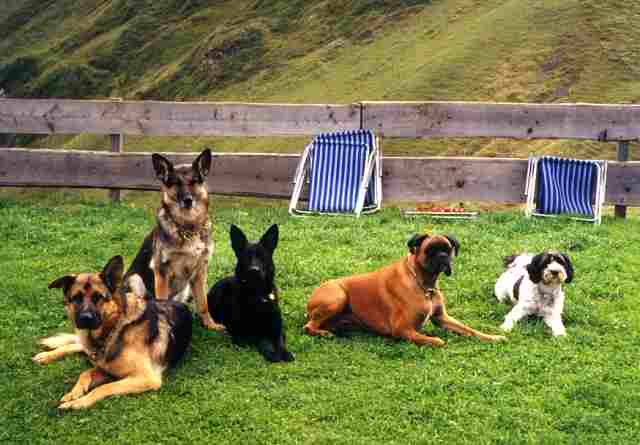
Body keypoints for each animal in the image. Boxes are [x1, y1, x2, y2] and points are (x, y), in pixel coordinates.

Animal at [32, 255, 191, 408]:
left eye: (98, 297)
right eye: (76, 298)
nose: (85, 318)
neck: (116, 329)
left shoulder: (145, 378)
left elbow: (102, 387)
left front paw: (78, 402)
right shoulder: (106, 369)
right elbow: (85, 374)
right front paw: (74, 393)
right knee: (76, 345)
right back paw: (46, 355)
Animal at [124, 148, 224, 330]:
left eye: (194, 181)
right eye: (175, 183)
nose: (188, 201)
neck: (188, 227)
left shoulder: (200, 272)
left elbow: (203, 303)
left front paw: (210, 324)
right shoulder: (161, 272)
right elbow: (162, 303)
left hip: (185, 290)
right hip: (135, 279)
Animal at [208, 224, 296, 362]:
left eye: (262, 256)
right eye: (246, 257)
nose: (254, 270)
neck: (258, 294)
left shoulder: (278, 328)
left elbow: (279, 340)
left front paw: (284, 353)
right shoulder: (243, 333)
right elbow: (261, 340)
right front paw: (272, 353)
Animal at [302, 232, 508, 346]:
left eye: (448, 249)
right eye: (430, 250)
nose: (442, 257)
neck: (424, 284)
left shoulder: (442, 318)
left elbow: (469, 330)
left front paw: (493, 337)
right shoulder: (402, 329)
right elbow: (432, 340)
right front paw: (435, 340)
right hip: (338, 296)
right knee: (308, 327)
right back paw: (324, 333)